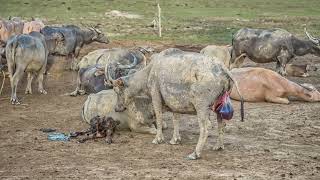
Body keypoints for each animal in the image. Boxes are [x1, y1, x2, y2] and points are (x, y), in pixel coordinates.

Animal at [109, 47, 244, 159]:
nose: (117, 108)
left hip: (201, 106)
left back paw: (195, 153)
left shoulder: (155, 95)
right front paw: (175, 139)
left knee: (205, 128)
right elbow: (176, 118)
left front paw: (158, 139)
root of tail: (223, 69)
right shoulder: (174, 101)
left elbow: (159, 117)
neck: (149, 72)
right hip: (218, 105)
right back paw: (218, 146)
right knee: (222, 124)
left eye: (117, 91)